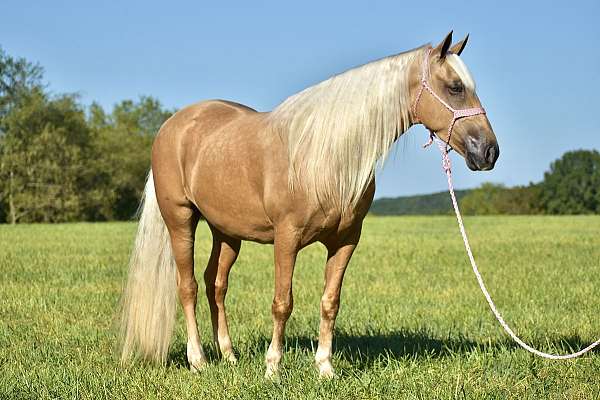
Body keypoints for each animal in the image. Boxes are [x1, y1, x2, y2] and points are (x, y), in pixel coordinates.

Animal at [119, 32, 500, 378]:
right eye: (454, 87)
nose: (489, 152)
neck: (325, 157)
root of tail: (173, 125)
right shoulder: (287, 239)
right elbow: (282, 303)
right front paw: (273, 368)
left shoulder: (345, 241)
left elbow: (330, 303)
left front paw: (325, 367)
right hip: (181, 220)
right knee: (188, 287)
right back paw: (198, 360)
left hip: (226, 232)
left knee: (216, 284)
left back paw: (228, 355)